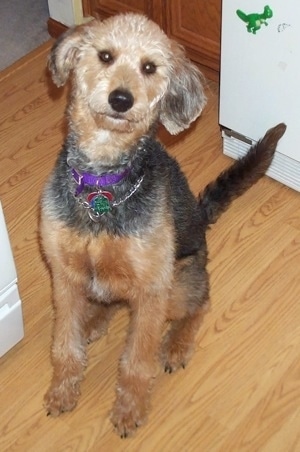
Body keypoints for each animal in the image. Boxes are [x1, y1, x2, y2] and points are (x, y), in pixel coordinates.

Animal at [39, 12, 286, 436]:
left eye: (149, 68)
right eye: (105, 56)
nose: (121, 99)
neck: (102, 191)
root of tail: (201, 217)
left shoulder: (151, 289)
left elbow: (136, 363)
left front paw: (129, 412)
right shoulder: (65, 275)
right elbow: (64, 346)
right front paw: (62, 393)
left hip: (177, 285)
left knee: (201, 304)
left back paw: (176, 345)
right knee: (108, 300)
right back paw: (94, 322)